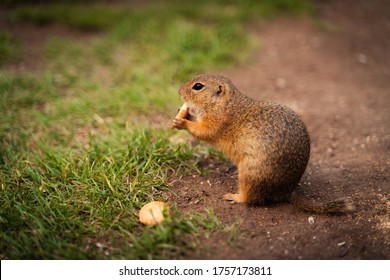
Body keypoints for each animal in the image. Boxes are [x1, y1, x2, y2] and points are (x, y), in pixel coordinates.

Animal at [172, 73, 354, 213]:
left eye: (198, 86)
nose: (179, 91)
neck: (225, 103)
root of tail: (286, 191)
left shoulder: (217, 122)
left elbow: (203, 131)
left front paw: (182, 122)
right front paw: (182, 113)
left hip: (249, 174)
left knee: (251, 199)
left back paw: (234, 197)